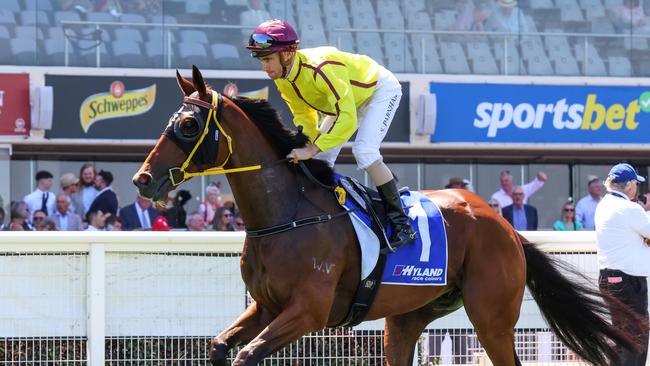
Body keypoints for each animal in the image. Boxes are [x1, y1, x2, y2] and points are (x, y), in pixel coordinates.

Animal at [133, 66, 636, 366]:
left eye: (188, 125)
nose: (142, 179)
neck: (286, 216)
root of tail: (505, 227)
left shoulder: (307, 311)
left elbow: (246, 354)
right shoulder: (267, 306)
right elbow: (221, 346)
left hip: (492, 316)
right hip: (408, 316)